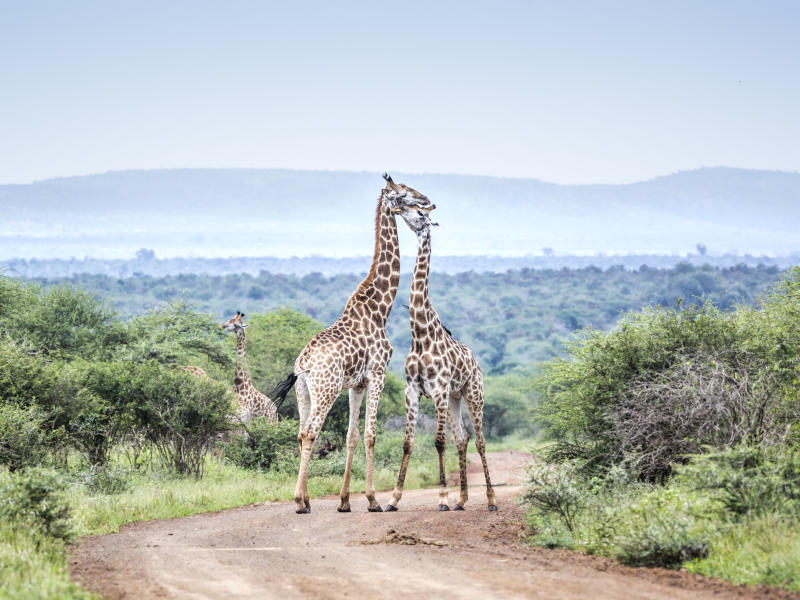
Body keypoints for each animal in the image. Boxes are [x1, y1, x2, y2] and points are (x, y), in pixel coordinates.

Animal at [270, 173, 432, 516]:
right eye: (404, 193)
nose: (427, 200)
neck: (380, 308)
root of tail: (303, 363)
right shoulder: (378, 374)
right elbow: (370, 435)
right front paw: (372, 500)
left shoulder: (356, 383)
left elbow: (352, 436)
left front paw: (345, 501)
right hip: (326, 388)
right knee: (310, 432)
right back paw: (299, 502)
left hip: (305, 392)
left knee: (301, 432)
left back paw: (305, 498)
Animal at [384, 200, 496, 510]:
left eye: (421, 212)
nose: (397, 207)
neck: (420, 335)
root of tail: (476, 362)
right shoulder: (412, 390)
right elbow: (408, 443)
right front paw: (393, 498)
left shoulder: (438, 390)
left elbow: (438, 441)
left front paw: (442, 498)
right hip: (455, 397)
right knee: (462, 436)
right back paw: (462, 499)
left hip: (473, 393)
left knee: (480, 440)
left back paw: (490, 499)